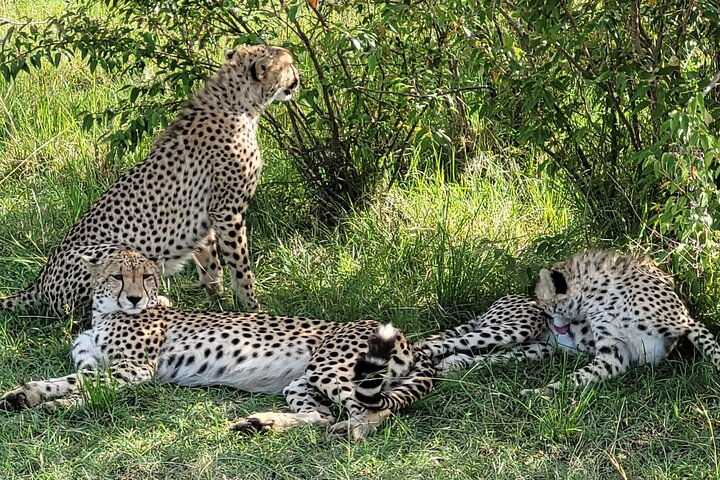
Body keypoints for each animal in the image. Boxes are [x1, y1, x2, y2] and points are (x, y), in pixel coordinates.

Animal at [0, 43, 298, 316]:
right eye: (290, 64)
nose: (299, 76)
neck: (239, 102)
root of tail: (39, 282)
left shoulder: (206, 217)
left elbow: (211, 267)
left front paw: (218, 304)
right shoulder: (228, 210)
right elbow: (240, 266)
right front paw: (252, 307)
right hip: (113, 250)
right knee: (87, 308)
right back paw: (154, 302)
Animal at [0, 251, 434, 442]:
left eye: (146, 276)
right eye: (118, 276)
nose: (136, 299)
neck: (105, 313)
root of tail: (409, 340)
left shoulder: (134, 370)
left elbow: (90, 388)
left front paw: (59, 405)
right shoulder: (95, 364)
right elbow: (68, 379)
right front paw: (24, 394)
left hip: (331, 369)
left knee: (375, 410)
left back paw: (352, 431)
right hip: (302, 380)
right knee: (321, 415)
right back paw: (262, 423)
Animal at [420, 249, 720, 396]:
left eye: (548, 306)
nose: (555, 326)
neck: (603, 296)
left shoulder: (688, 325)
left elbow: (715, 352)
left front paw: (539, 392)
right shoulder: (614, 353)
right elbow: (577, 377)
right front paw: (539, 393)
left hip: (538, 348)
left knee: (485, 356)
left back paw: (453, 364)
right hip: (520, 326)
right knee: (436, 342)